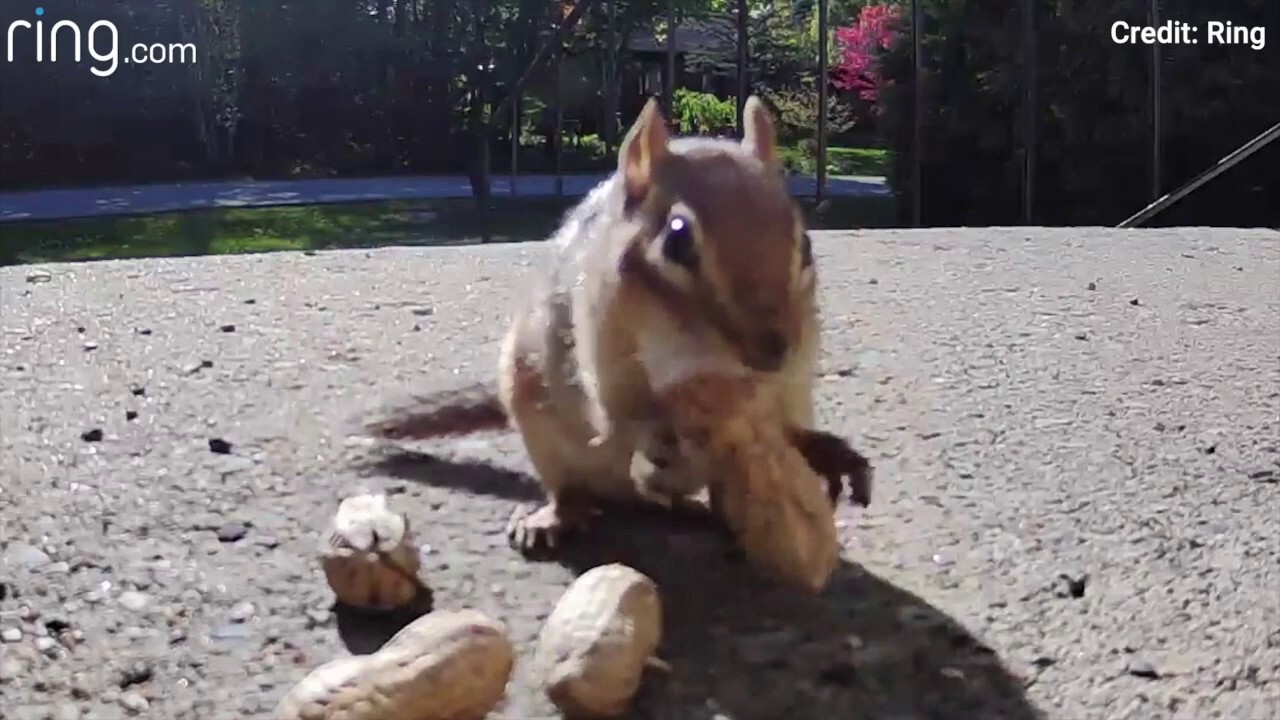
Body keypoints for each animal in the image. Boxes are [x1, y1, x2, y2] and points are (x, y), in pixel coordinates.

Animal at [357, 96, 872, 554]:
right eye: (677, 240)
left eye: (805, 245)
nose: (771, 353)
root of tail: (620, 493)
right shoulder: (604, 360)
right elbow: (625, 416)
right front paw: (657, 441)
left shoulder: (789, 383)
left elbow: (781, 427)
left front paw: (825, 450)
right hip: (533, 410)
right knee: (570, 486)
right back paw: (559, 516)